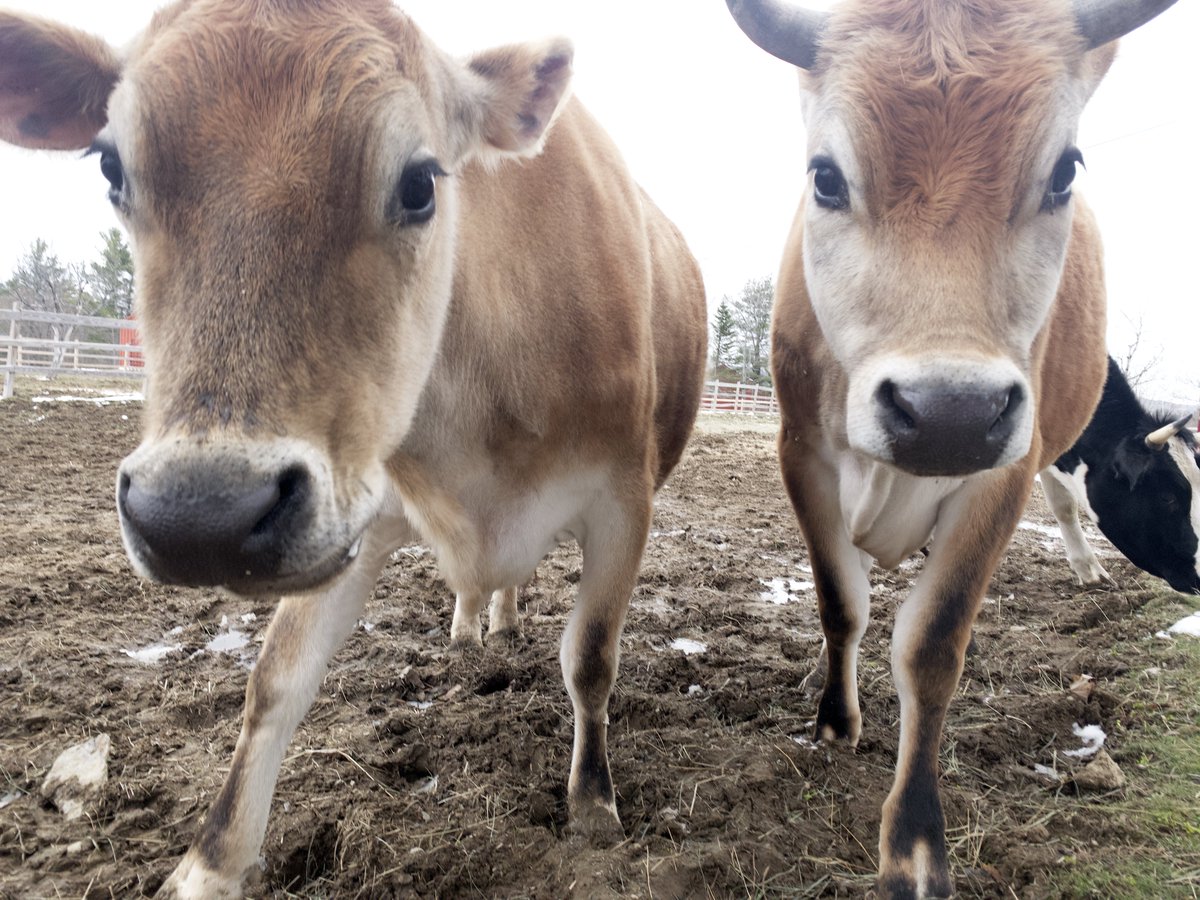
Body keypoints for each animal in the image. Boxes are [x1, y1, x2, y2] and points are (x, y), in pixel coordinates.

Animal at [0, 2, 707, 895]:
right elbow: (275, 682)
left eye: (419, 182)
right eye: (112, 169)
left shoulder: (624, 500)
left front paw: (592, 806)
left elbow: (589, 659)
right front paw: (207, 864)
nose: (199, 517)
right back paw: (475, 624)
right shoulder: (344, 511)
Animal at [725, 0, 1177, 896]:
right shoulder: (803, 452)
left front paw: (915, 846)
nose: (950, 415)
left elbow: (933, 646)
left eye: (1064, 171)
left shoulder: (1008, 468)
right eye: (825, 177)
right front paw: (835, 720)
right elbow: (841, 603)